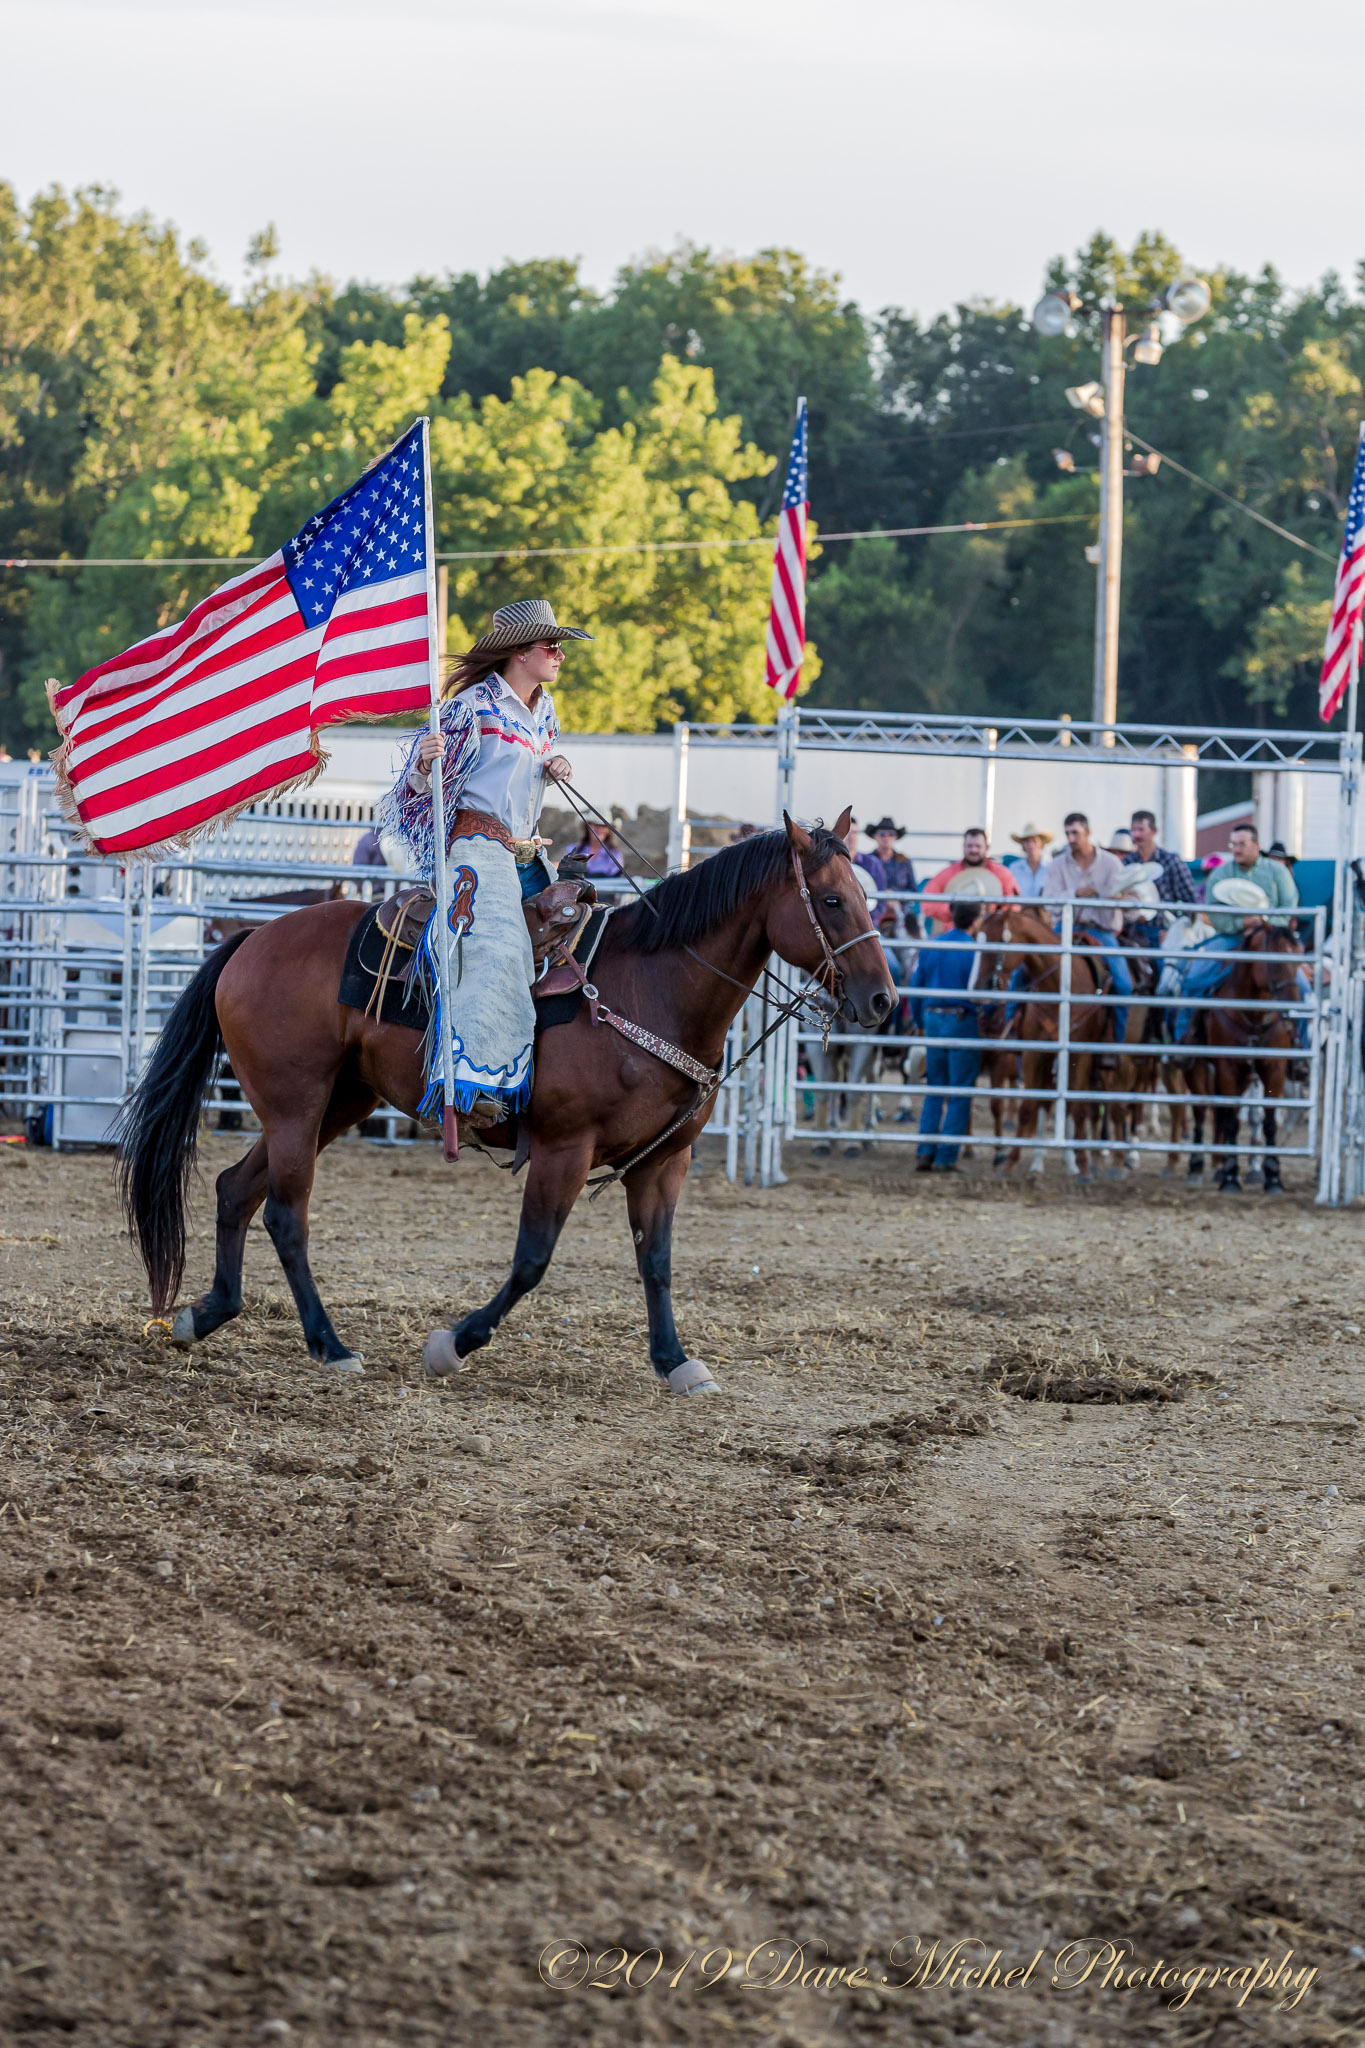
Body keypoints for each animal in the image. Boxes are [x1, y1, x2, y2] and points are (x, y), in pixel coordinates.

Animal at [116, 812, 895, 1393]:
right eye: (830, 900)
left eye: (863, 894)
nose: (882, 1000)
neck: (653, 987)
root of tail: (252, 936)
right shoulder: (563, 1149)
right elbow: (532, 1259)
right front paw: (453, 1343)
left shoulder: (663, 1161)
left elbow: (657, 1261)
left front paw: (675, 1361)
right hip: (295, 1104)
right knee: (284, 1213)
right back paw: (329, 1344)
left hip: (338, 1101)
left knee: (233, 1189)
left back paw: (204, 1317)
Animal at [1203, 920, 1305, 1194]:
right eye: (1276, 962)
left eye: (1299, 956)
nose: (1295, 1007)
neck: (1253, 1015)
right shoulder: (1227, 1067)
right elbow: (1231, 1122)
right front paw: (1230, 1178)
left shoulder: (1274, 1068)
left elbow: (1269, 1122)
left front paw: (1273, 1177)